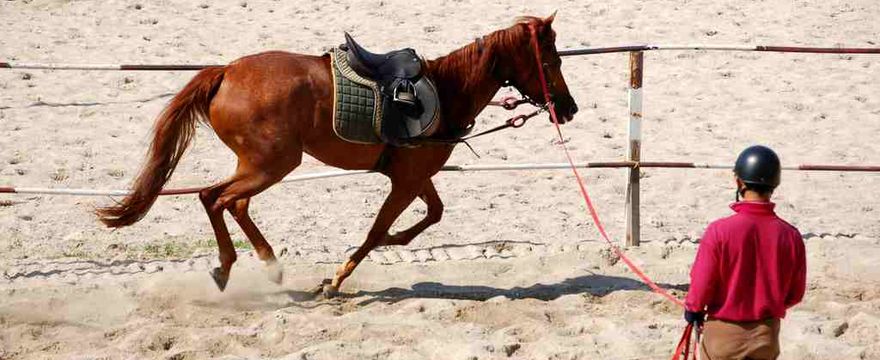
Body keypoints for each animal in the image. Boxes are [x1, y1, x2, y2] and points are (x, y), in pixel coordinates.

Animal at [96, 14, 580, 296]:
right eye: (552, 61)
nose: (569, 108)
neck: (445, 92)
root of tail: (227, 72)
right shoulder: (405, 183)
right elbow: (376, 232)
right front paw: (338, 278)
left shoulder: (413, 177)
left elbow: (432, 214)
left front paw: (395, 241)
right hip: (272, 164)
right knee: (216, 198)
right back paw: (240, 267)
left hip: (260, 165)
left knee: (232, 202)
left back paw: (260, 265)